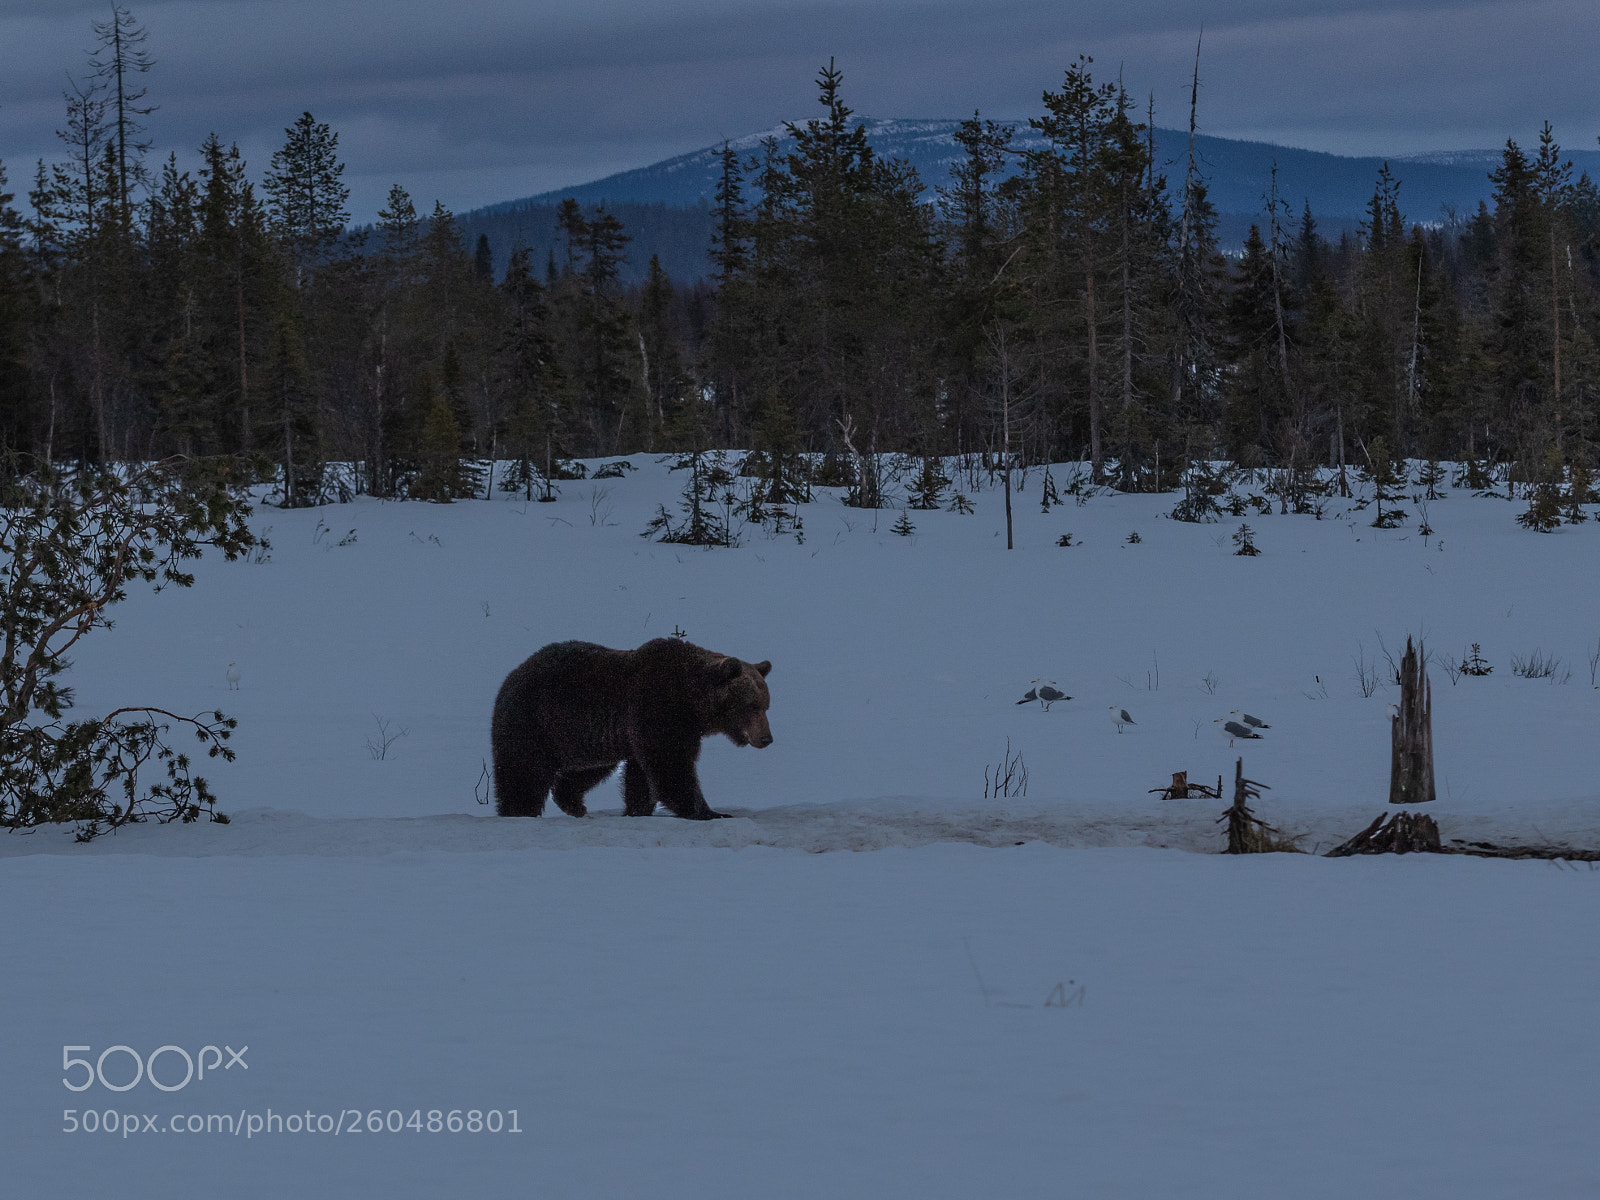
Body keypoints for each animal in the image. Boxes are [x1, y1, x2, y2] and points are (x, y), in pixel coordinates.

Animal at [490, 638, 773, 820]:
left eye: (766, 705)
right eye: (751, 705)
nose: (766, 738)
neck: (691, 700)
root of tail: (512, 674)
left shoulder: (650, 727)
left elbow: (642, 775)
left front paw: (637, 810)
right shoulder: (658, 709)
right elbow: (671, 766)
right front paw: (710, 812)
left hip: (587, 736)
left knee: (590, 768)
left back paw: (572, 803)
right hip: (534, 720)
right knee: (524, 771)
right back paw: (519, 811)